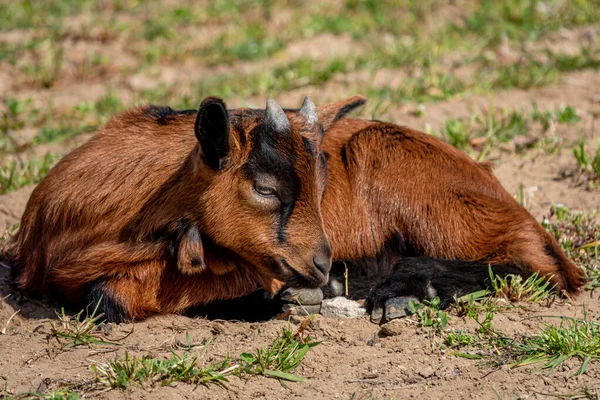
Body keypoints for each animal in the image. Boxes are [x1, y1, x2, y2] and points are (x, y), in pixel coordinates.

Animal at [3, 95, 584, 324]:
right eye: (265, 188)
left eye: (322, 183)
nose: (322, 264)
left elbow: (110, 300)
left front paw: (294, 299)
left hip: (412, 178)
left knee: (535, 267)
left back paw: (401, 290)